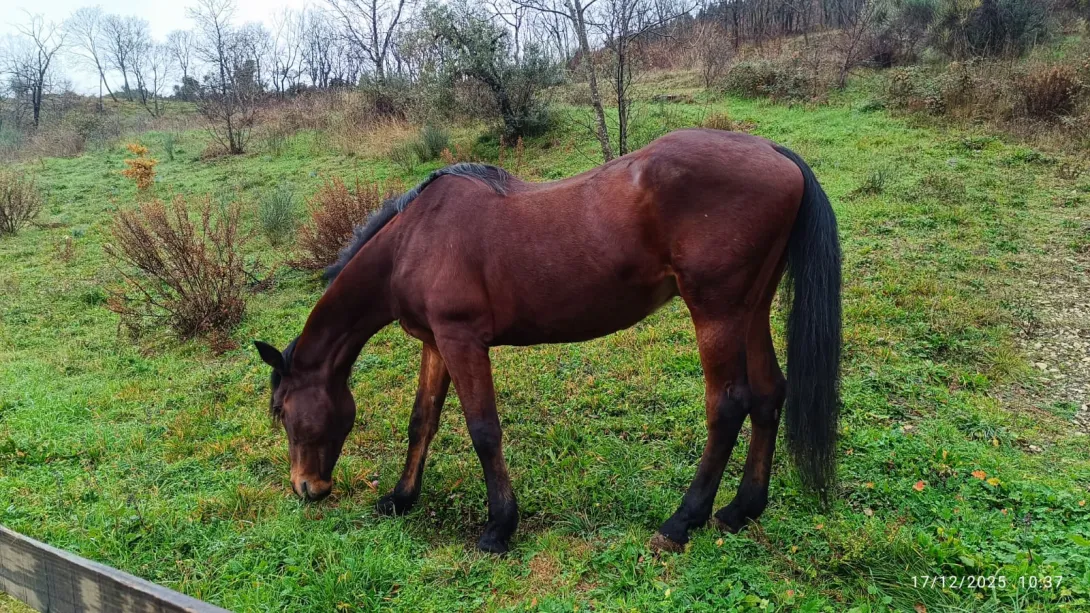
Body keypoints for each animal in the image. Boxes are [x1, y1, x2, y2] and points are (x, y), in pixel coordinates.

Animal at [254, 128, 841, 554]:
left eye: (281, 410)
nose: (307, 488)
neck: (413, 239)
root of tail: (772, 152)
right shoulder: (435, 343)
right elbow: (422, 420)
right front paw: (401, 499)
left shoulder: (462, 340)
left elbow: (483, 430)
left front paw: (499, 527)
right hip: (751, 310)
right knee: (767, 395)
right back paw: (741, 511)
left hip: (715, 313)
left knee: (728, 405)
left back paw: (681, 522)